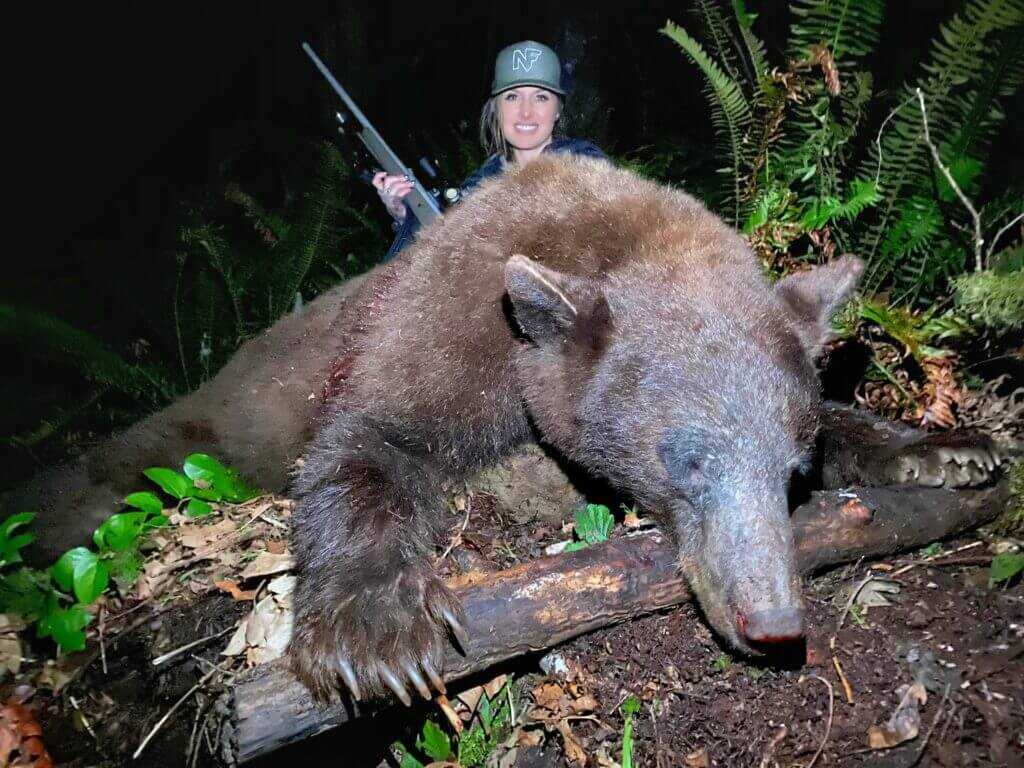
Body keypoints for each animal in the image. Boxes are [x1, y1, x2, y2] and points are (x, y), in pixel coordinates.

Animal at [284, 153, 1007, 705]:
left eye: (793, 474)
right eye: (688, 462)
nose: (773, 622)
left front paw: (939, 448)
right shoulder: (449, 316)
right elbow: (370, 436)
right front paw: (375, 621)